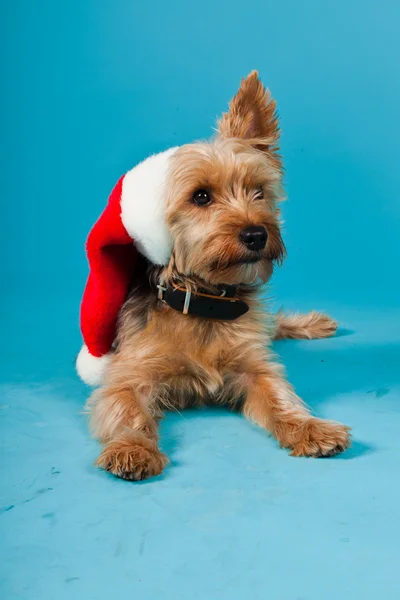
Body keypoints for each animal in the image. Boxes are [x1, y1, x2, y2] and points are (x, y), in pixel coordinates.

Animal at [88, 71, 350, 482]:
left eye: (259, 192)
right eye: (200, 196)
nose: (256, 234)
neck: (205, 301)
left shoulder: (255, 367)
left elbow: (280, 397)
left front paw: (310, 428)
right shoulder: (128, 375)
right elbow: (127, 410)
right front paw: (132, 448)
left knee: (274, 324)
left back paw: (313, 323)